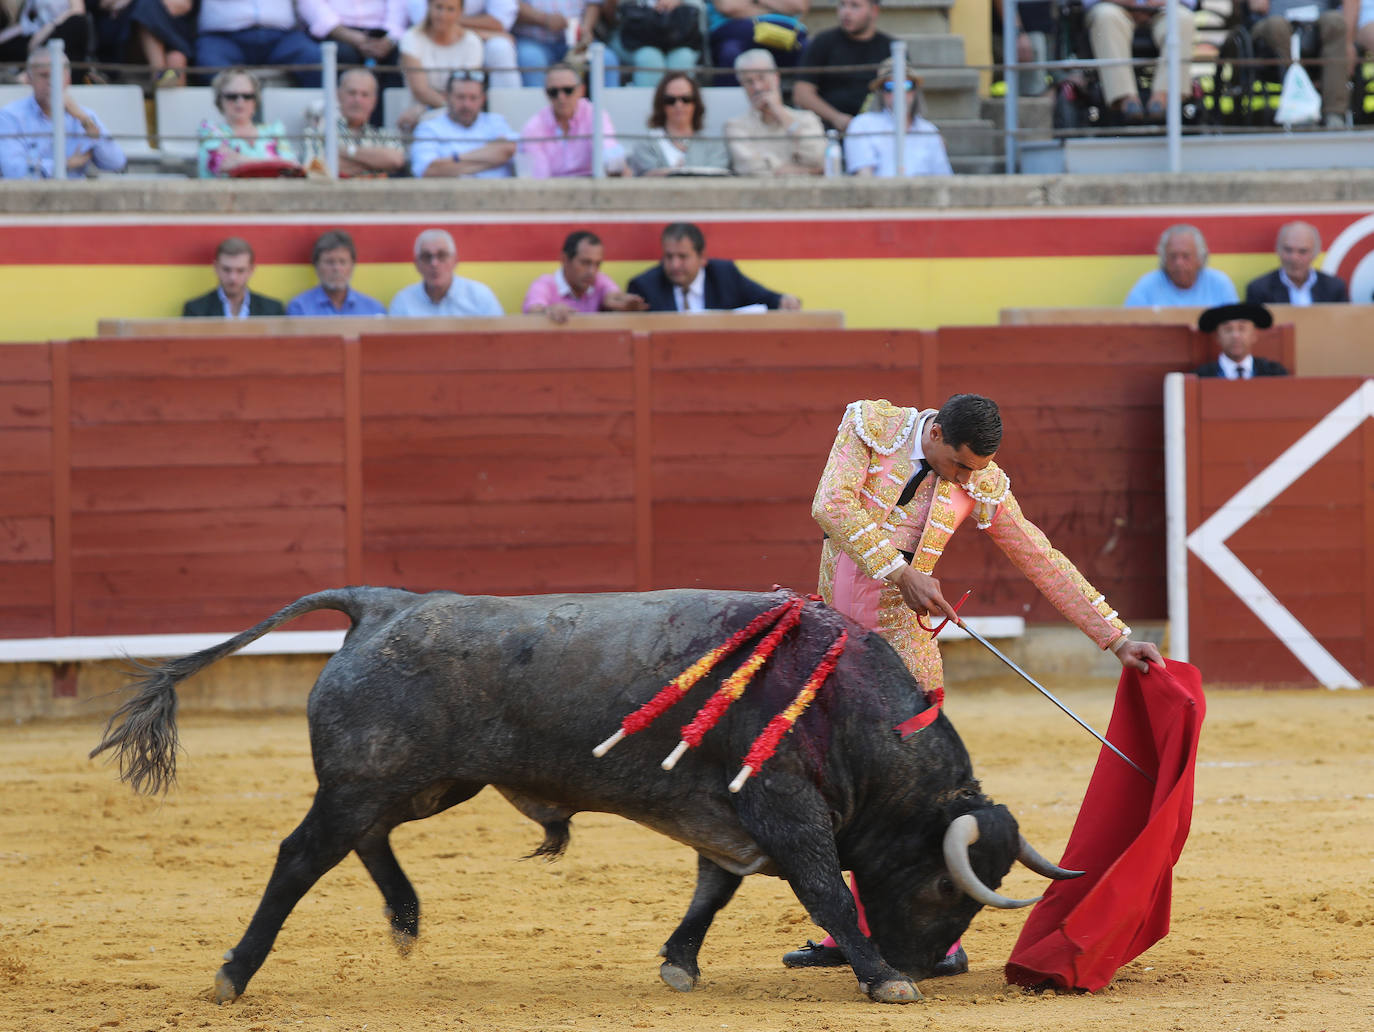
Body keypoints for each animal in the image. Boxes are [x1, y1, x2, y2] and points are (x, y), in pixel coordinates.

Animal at [94, 585, 1082, 1005]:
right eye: (944, 883)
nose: (923, 963)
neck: (846, 712)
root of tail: (382, 604)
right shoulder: (786, 812)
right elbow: (826, 891)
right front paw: (881, 980)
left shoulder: (731, 819)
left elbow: (713, 890)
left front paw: (679, 963)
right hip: (373, 776)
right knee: (302, 856)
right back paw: (234, 974)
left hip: (428, 783)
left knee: (365, 840)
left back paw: (407, 917)